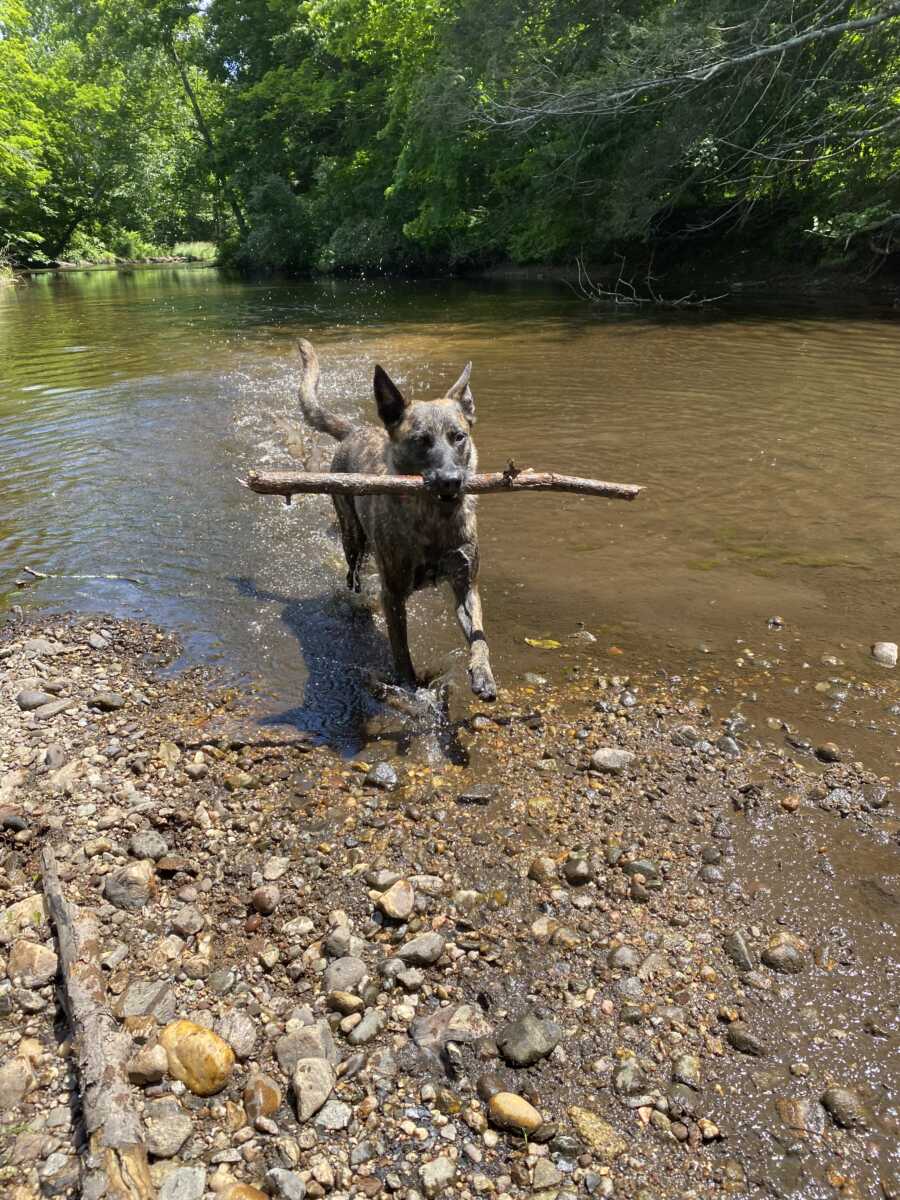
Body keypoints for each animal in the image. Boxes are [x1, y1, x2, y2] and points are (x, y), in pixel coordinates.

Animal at [296, 336, 496, 700]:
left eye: (458, 437)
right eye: (421, 441)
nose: (451, 481)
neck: (434, 521)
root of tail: (357, 429)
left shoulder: (466, 582)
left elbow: (478, 635)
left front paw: (483, 675)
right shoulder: (393, 595)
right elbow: (401, 650)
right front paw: (409, 688)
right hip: (352, 536)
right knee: (353, 574)